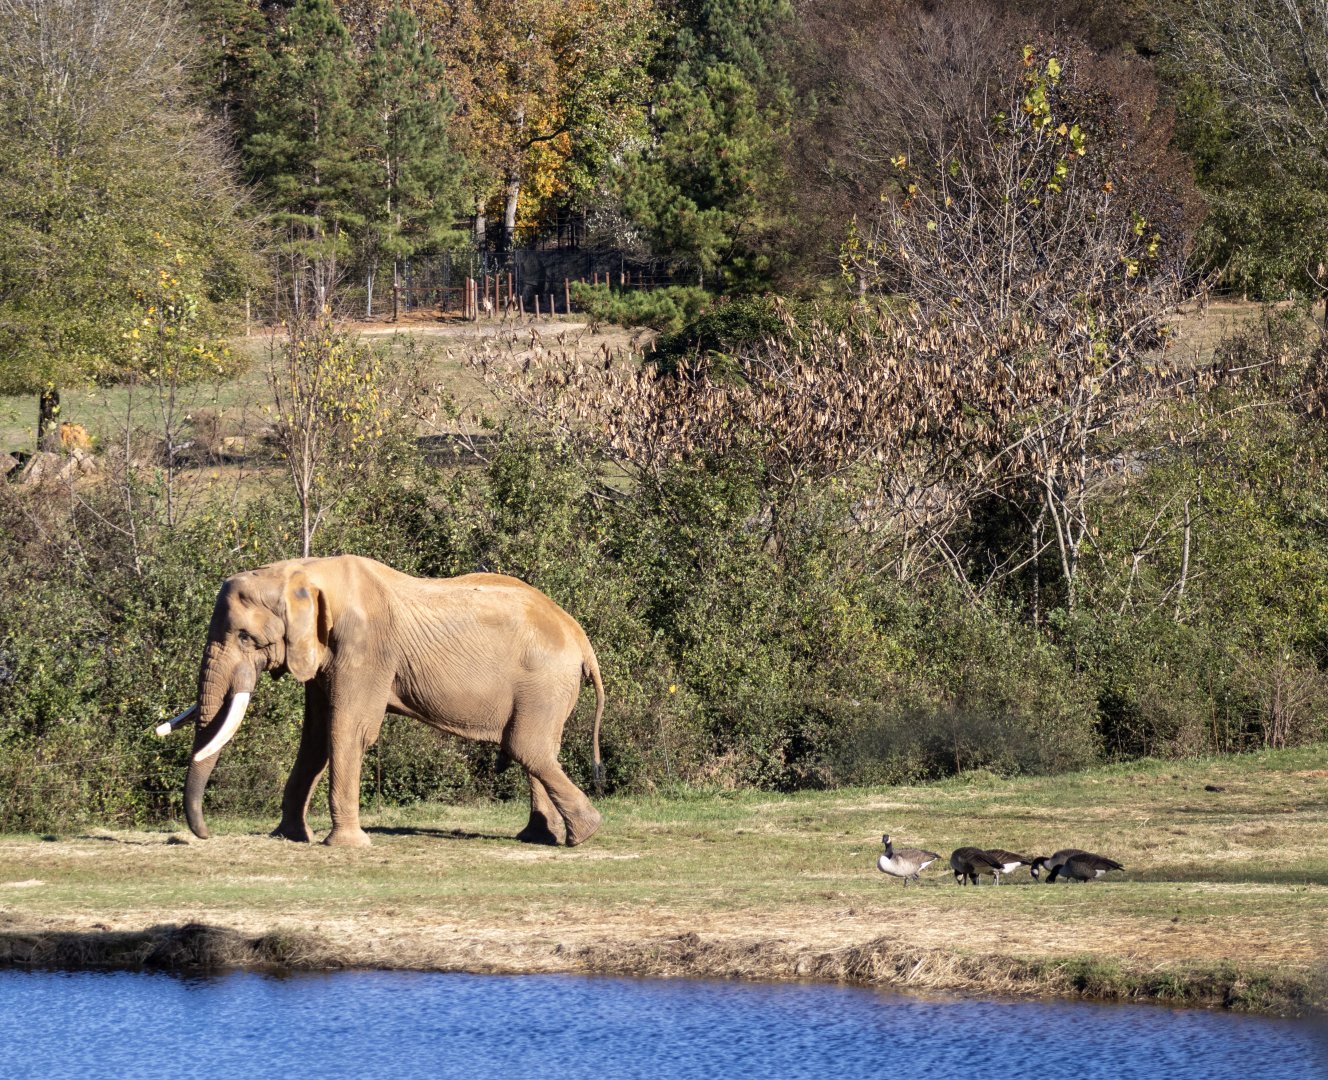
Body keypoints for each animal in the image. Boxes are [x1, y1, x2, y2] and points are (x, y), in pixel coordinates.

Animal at [156, 555, 605, 848]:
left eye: (246, 637)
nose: (205, 835)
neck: (305, 572)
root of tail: (581, 637)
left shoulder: (364, 648)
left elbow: (347, 729)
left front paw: (345, 846)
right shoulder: (324, 653)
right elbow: (314, 738)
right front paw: (289, 837)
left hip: (544, 681)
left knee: (525, 746)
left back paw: (582, 834)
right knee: (537, 750)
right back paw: (540, 837)